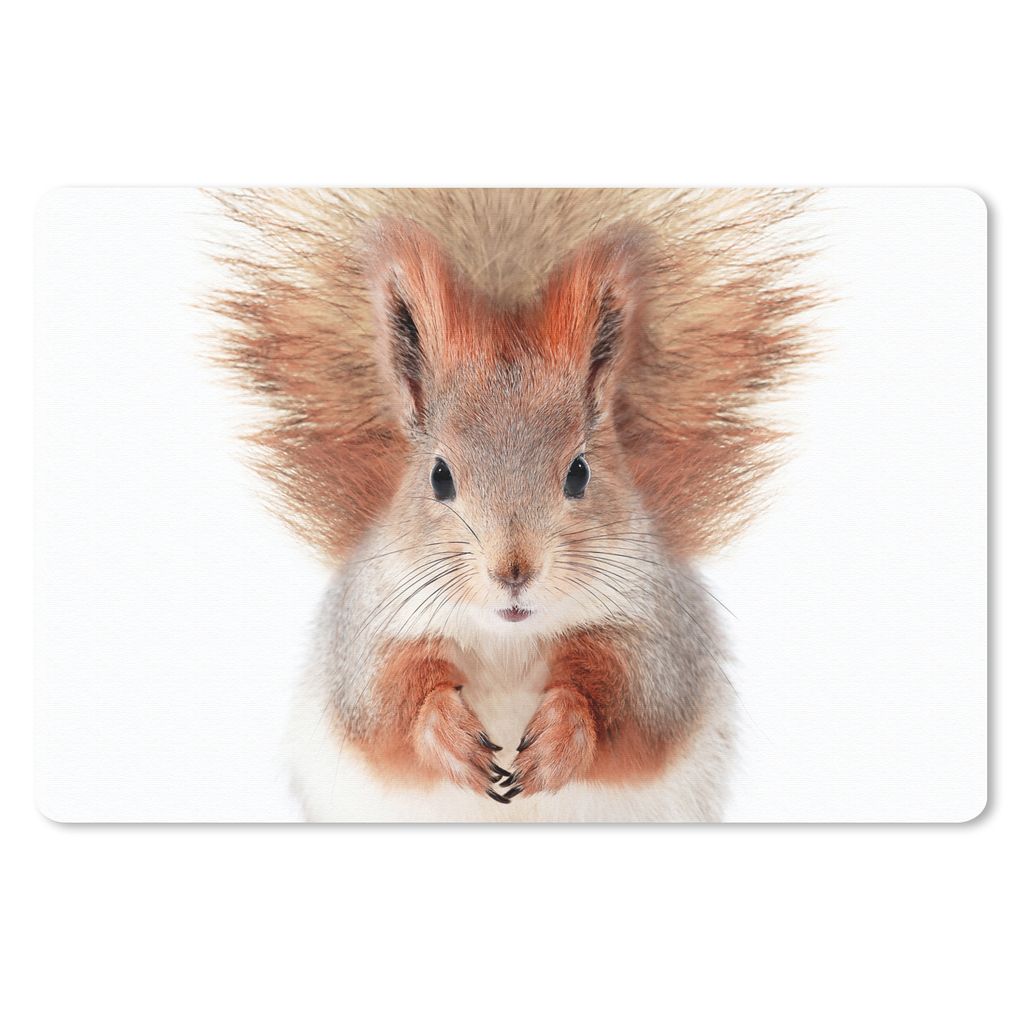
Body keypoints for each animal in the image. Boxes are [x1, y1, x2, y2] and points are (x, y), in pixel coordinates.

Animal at [211, 189, 816, 822]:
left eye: (579, 472)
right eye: (439, 475)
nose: (513, 570)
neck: (507, 639)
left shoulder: (659, 634)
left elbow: (636, 699)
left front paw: (560, 738)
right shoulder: (367, 630)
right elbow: (384, 702)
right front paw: (447, 735)